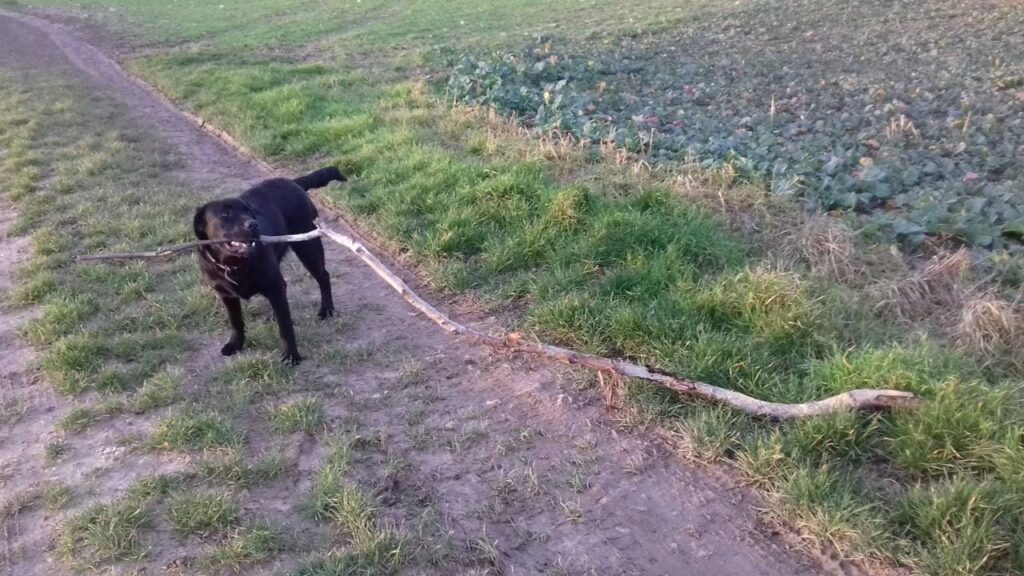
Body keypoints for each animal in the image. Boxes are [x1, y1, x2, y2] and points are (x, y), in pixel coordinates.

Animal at [193, 166, 346, 362]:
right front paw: (235, 344)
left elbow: (285, 327)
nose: (253, 224)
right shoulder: (226, 295)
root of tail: (293, 182)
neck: (234, 265)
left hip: (307, 246)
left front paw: (291, 356)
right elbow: (236, 321)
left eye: (249, 212)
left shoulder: (273, 287)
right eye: (225, 214)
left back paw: (326, 310)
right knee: (287, 284)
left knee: (323, 276)